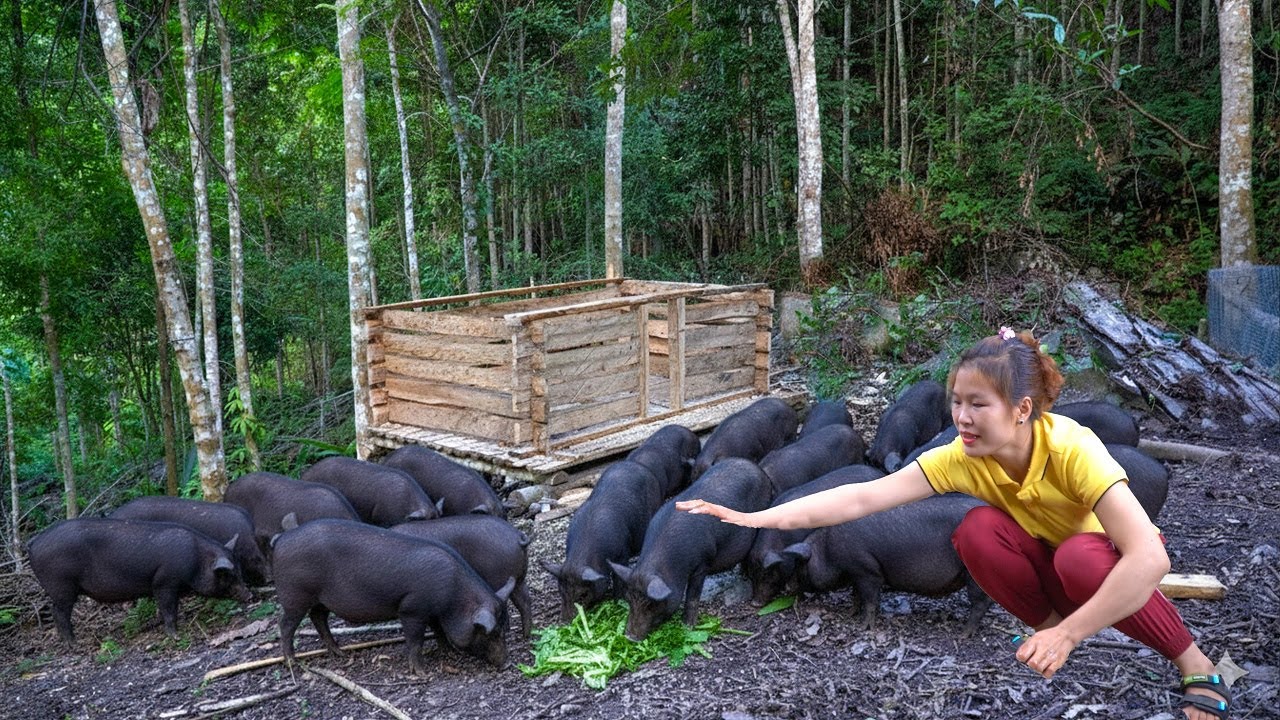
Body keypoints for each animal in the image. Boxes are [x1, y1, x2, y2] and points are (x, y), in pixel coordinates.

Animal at [27, 518, 252, 645]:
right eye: (227, 575)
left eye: (240, 571)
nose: (250, 595)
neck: (197, 559)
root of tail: (34, 543)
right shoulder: (164, 581)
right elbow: (169, 609)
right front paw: (175, 636)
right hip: (62, 586)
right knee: (59, 613)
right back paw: (73, 645)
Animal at [272, 519, 514, 674]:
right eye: (492, 633)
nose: (505, 664)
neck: (454, 596)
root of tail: (282, 538)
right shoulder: (411, 609)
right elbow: (415, 641)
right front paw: (422, 673)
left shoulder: (433, 613)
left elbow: (439, 632)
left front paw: (447, 652)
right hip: (295, 596)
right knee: (285, 626)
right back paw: (292, 663)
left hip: (320, 599)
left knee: (318, 618)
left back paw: (339, 653)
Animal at [541, 460, 664, 621]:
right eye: (561, 592)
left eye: (583, 595)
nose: (566, 622)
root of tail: (637, 464)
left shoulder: (622, 552)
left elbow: (618, 580)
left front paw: (617, 602)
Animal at [610, 458, 771, 641]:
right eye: (629, 599)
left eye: (651, 604)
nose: (630, 637)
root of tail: (758, 469)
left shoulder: (702, 563)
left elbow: (692, 596)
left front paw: (687, 627)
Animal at [785, 494, 992, 636]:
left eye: (800, 566)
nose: (788, 587)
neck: (827, 550)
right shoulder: (857, 574)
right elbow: (856, 595)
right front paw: (850, 613)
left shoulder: (867, 571)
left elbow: (870, 600)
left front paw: (863, 627)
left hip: (973, 572)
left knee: (980, 603)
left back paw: (963, 634)